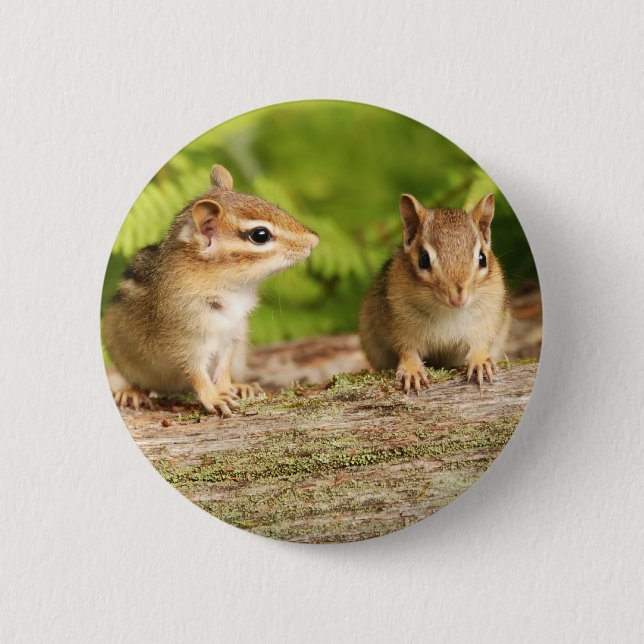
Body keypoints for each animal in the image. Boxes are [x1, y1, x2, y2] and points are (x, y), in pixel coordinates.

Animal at [102, 164, 319, 416]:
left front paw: (227, 388)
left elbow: (224, 365)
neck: (231, 289)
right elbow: (195, 372)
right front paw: (214, 398)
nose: (314, 240)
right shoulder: (184, 339)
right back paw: (131, 392)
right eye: (260, 235)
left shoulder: (233, 332)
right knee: (135, 380)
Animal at [359, 192, 511, 395]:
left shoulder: (487, 319)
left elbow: (481, 341)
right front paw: (412, 370)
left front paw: (480, 361)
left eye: (482, 258)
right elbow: (406, 349)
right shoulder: (400, 323)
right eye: (423, 259)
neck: (449, 312)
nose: (458, 299)